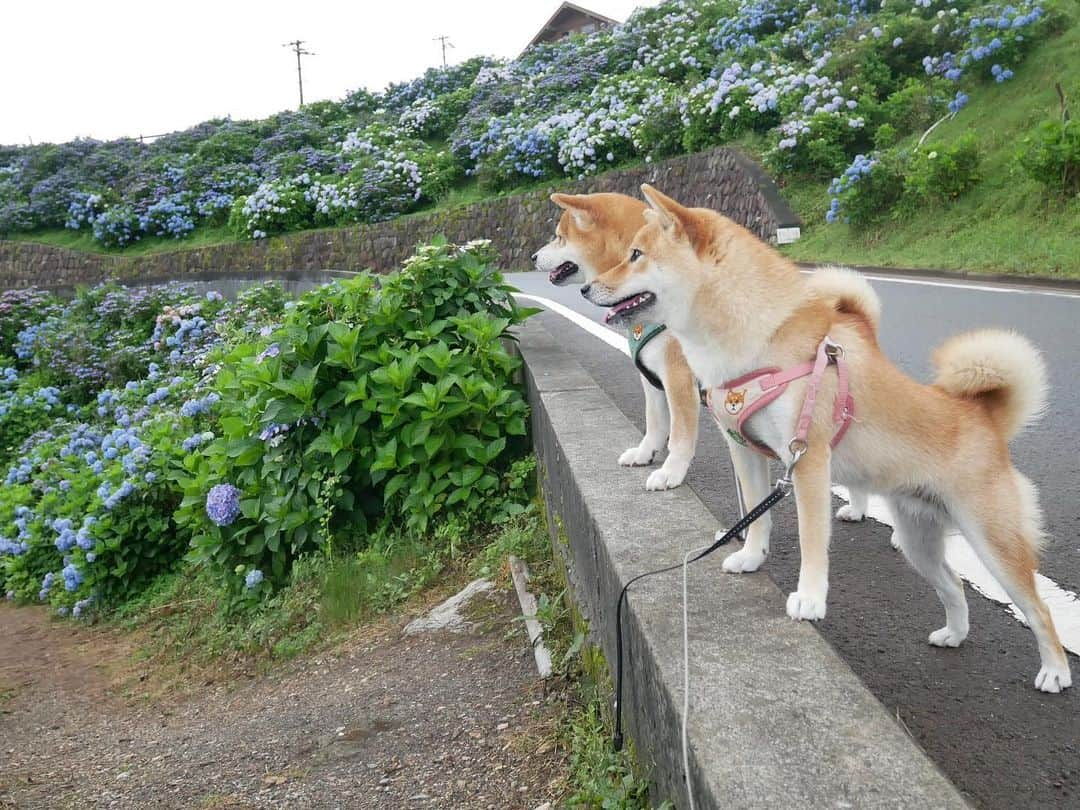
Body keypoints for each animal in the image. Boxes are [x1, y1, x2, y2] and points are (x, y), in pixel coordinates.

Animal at [583, 185, 1071, 699]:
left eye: (636, 255)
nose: (585, 289)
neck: (751, 341)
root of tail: (983, 416)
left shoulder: (808, 458)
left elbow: (810, 536)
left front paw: (811, 598)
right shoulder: (745, 450)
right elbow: (755, 514)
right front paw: (750, 556)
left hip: (993, 540)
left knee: (1038, 609)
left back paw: (1055, 672)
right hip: (918, 538)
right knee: (954, 583)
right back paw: (953, 634)